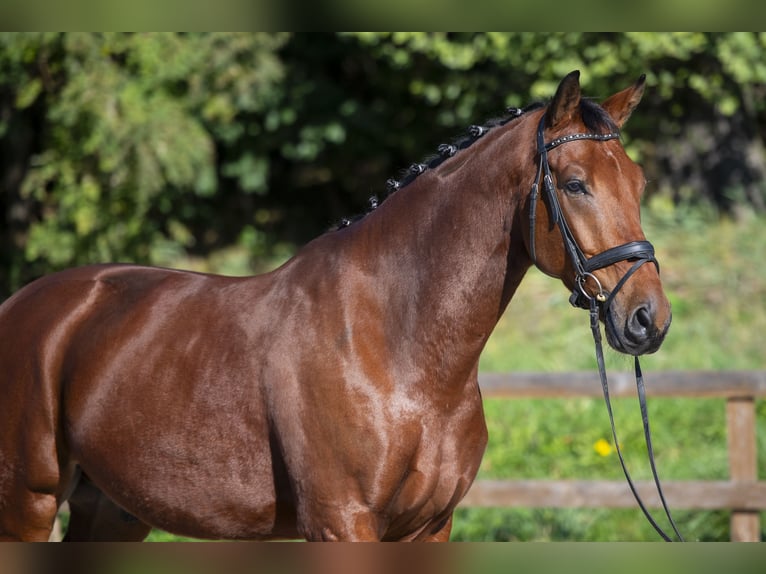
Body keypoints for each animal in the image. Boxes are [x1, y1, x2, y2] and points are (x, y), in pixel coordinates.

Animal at [0, 70, 672, 544]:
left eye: (638, 183)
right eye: (576, 183)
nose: (649, 319)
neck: (396, 349)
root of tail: (24, 305)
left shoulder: (430, 527)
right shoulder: (342, 522)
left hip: (111, 510)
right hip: (28, 502)